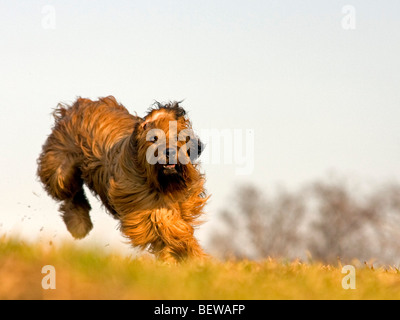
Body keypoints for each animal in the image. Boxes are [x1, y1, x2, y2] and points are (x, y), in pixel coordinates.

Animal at [37, 95, 209, 262]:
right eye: (154, 138)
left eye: (178, 136)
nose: (169, 152)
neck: (164, 184)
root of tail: (77, 106)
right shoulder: (142, 203)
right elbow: (169, 226)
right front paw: (195, 255)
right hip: (61, 167)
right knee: (70, 194)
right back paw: (79, 224)